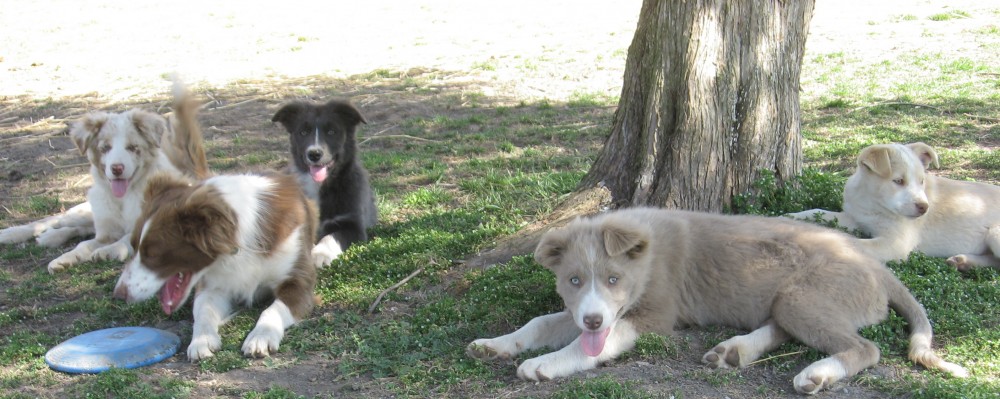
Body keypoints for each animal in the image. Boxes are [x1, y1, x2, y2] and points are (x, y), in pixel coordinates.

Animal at [470, 209, 968, 396]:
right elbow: (539, 322)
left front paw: (546, 364)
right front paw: (495, 345)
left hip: (804, 296)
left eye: (614, 279)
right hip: (792, 299)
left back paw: (817, 373)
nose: (592, 319)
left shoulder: (652, 315)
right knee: (781, 327)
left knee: (865, 347)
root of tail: (877, 265)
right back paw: (735, 350)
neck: (645, 256)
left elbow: (593, 345)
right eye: (574, 280)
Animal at [788, 143, 1000, 272]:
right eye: (898, 181)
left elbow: (855, 243)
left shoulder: (895, 243)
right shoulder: (855, 218)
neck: (873, 203)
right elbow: (818, 212)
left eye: (921, 181)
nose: (924, 208)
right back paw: (963, 262)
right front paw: (791, 217)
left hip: (994, 234)